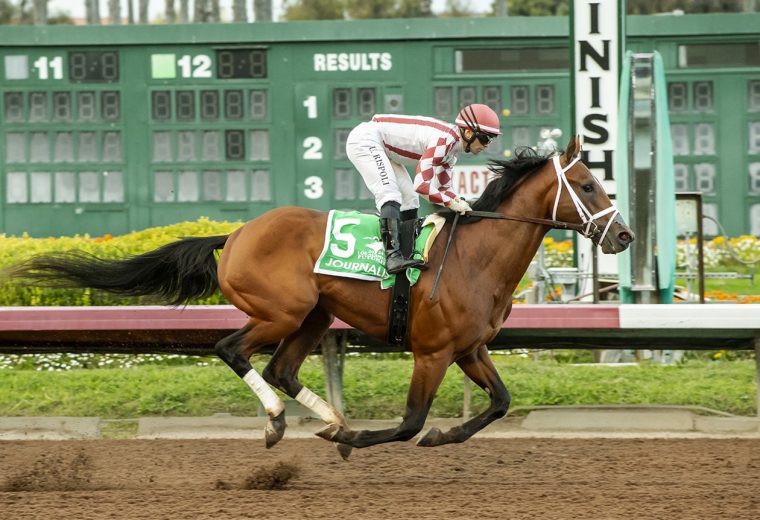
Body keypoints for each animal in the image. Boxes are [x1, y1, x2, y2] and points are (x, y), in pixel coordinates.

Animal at [8, 136, 632, 458]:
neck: (473, 259)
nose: (623, 235)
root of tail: (235, 234)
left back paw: (326, 420)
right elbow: (408, 421)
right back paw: (282, 423)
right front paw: (363, 438)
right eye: (586, 184)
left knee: (280, 368)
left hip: (313, 315)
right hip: (279, 310)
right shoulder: (431, 352)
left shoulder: (470, 349)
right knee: (232, 349)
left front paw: (437, 433)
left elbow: (500, 403)